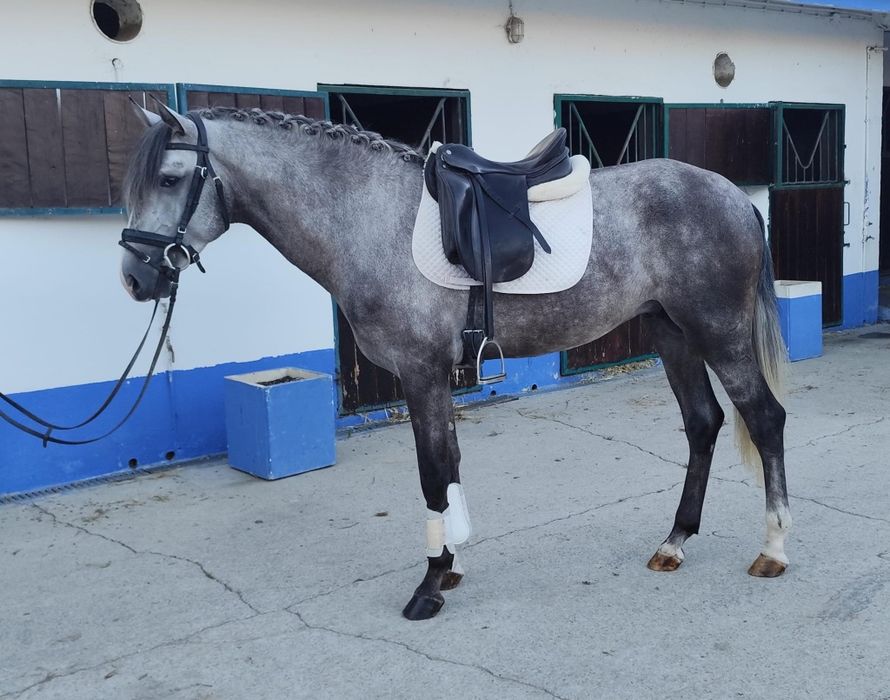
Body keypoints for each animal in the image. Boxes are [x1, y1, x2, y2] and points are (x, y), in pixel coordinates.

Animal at [120, 103, 791, 621]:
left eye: (172, 179)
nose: (135, 278)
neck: (368, 217)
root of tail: (734, 196)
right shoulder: (437, 378)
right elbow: (449, 469)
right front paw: (451, 566)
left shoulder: (420, 372)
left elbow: (432, 472)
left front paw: (429, 587)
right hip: (672, 334)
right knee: (703, 424)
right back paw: (674, 543)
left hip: (719, 334)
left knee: (764, 419)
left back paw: (774, 550)